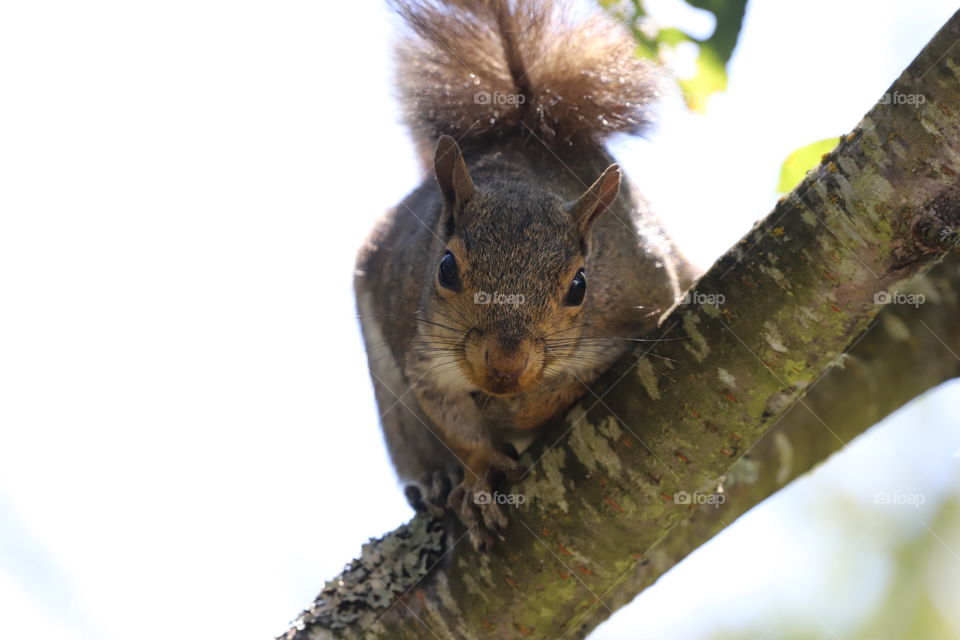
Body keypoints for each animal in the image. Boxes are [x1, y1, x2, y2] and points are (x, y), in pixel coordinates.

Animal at [356, 0, 692, 552]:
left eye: (580, 286)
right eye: (445, 268)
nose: (505, 366)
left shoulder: (647, 300)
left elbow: (572, 380)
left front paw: (521, 411)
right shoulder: (418, 348)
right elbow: (453, 420)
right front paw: (477, 477)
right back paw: (436, 480)